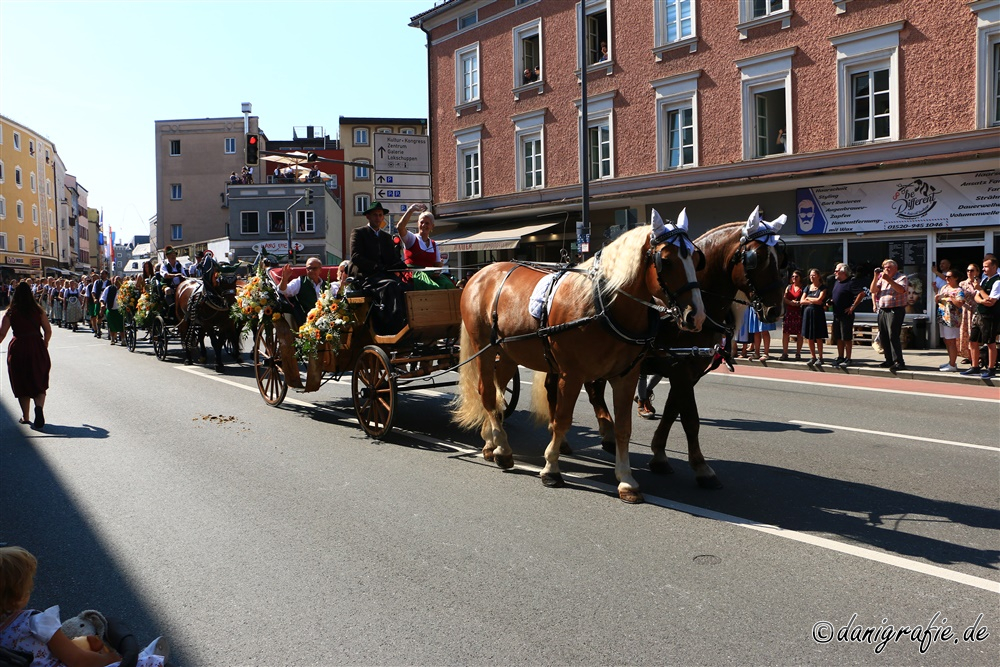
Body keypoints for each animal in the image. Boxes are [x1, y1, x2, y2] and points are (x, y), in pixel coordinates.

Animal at [454, 211, 704, 504]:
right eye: (666, 260)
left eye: (696, 259)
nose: (696, 316)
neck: (601, 306)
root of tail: (481, 273)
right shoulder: (571, 376)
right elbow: (562, 420)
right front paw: (551, 468)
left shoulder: (626, 377)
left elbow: (623, 427)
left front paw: (626, 480)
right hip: (484, 348)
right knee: (486, 393)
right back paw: (503, 449)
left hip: (506, 354)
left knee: (496, 394)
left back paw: (491, 442)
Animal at [584, 209, 784, 490]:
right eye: (756, 257)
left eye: (780, 257)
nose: (776, 310)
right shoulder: (680, 369)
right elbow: (690, 418)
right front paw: (701, 468)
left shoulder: (688, 371)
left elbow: (672, 412)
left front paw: (659, 455)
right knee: (592, 390)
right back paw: (607, 434)